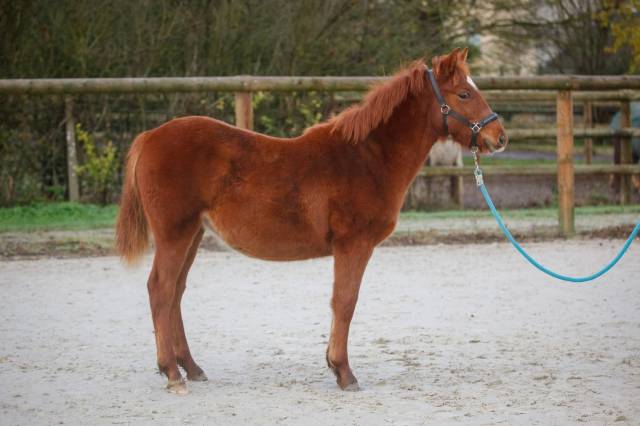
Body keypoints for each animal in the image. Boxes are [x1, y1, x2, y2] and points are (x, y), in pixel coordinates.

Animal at [115, 47, 508, 394]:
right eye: (464, 93)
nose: (499, 137)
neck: (366, 159)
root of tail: (149, 136)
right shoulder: (353, 245)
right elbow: (345, 302)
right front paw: (344, 373)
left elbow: (340, 302)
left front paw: (335, 366)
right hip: (174, 234)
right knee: (160, 289)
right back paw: (171, 373)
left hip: (193, 234)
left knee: (176, 292)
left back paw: (191, 368)